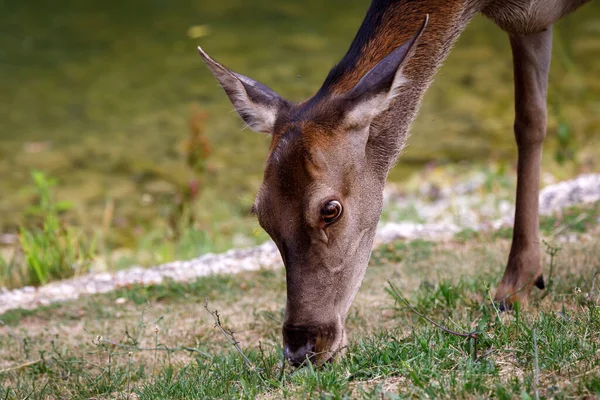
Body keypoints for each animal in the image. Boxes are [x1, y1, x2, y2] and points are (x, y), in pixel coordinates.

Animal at [198, 0, 592, 366]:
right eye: (262, 215)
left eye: (330, 209)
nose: (301, 347)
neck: (488, 4)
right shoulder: (531, 25)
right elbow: (530, 122)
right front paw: (517, 288)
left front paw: (512, 290)